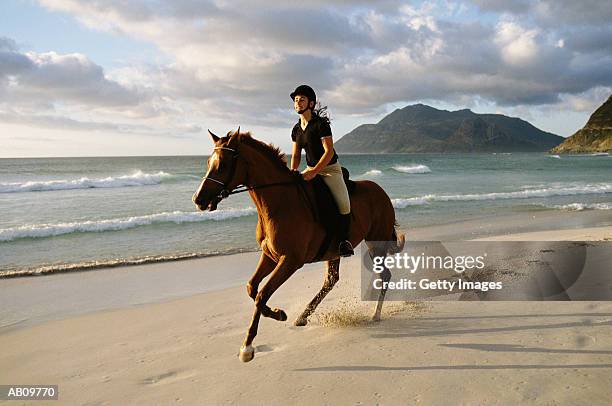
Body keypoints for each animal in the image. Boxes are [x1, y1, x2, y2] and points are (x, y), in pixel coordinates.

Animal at [191, 127, 402, 362]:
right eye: (208, 162)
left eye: (223, 165)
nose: (198, 199)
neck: (279, 202)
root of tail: (381, 192)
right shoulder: (270, 256)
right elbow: (252, 288)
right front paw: (278, 314)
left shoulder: (290, 261)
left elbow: (262, 294)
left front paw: (247, 347)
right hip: (334, 252)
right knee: (331, 280)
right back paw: (302, 317)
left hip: (376, 244)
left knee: (384, 275)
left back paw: (375, 313)